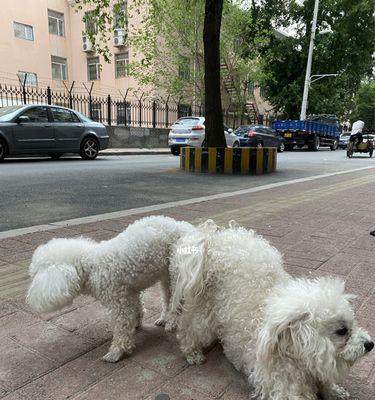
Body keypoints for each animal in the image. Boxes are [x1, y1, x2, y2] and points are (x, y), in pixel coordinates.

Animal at [25, 216, 197, 362]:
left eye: (35, 274)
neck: (91, 265)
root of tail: (185, 226)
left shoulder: (119, 302)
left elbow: (121, 327)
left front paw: (116, 352)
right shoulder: (129, 292)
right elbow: (137, 308)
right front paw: (136, 323)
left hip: (176, 270)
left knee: (176, 299)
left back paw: (171, 323)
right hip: (165, 274)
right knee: (167, 296)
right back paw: (164, 318)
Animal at [170, 222, 374, 400]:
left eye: (353, 322)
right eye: (342, 331)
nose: (370, 344)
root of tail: (214, 237)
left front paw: (335, 391)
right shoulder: (282, 386)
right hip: (205, 311)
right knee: (188, 328)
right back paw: (192, 353)